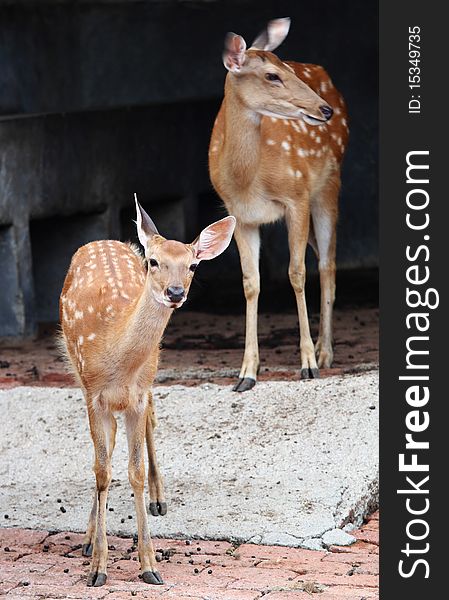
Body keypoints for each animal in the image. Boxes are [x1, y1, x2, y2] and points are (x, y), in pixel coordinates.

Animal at [58, 199, 238, 588]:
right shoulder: (93, 394)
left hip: (151, 373)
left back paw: (158, 499)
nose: (175, 292)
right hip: (78, 370)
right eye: (153, 262)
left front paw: (149, 564)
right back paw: (89, 537)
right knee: (108, 447)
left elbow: (135, 471)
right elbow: (102, 470)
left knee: (151, 421)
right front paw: (97, 567)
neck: (115, 354)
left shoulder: (138, 394)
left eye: (193, 264)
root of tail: (104, 240)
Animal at [208, 17, 348, 390]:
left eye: (286, 69)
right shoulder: (239, 216)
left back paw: (325, 352)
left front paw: (308, 364)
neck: (248, 180)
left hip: (328, 186)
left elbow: (296, 273)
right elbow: (250, 283)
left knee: (327, 265)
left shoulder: (296, 197)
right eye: (272, 75)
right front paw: (246, 373)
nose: (324, 109)